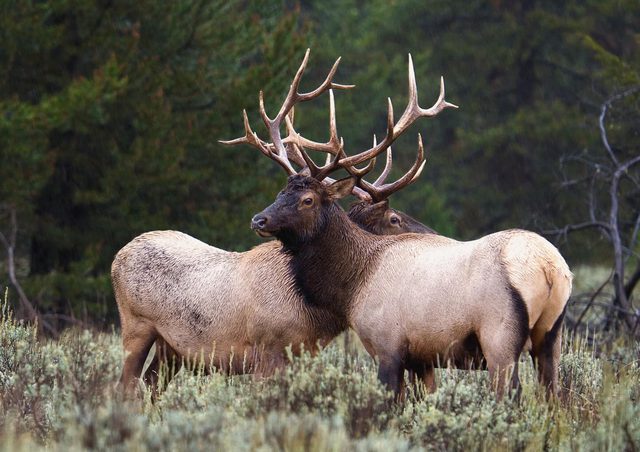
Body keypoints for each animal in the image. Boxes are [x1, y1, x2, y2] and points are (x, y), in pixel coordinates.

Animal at [112, 50, 435, 396]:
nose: (258, 219)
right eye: (394, 218)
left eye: (303, 198)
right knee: (126, 386)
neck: (319, 312)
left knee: (149, 387)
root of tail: (119, 254)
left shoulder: (301, 355)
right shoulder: (266, 351)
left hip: (171, 348)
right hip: (135, 325)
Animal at [248, 57, 573, 399]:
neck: (353, 285)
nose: (259, 219)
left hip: (500, 334)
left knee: (511, 393)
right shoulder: (422, 357)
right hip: (551, 337)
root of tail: (549, 267)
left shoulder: (387, 344)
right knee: (554, 394)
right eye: (280, 193)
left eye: (307, 199)